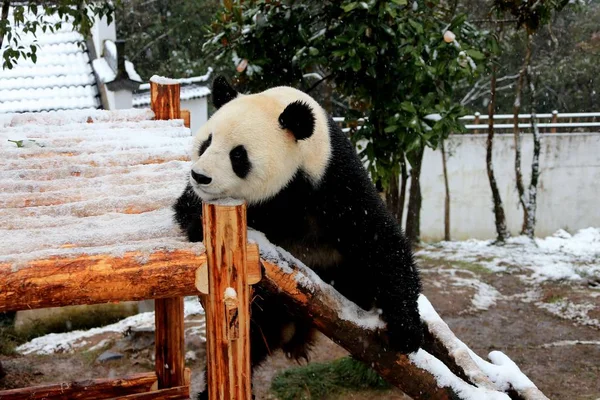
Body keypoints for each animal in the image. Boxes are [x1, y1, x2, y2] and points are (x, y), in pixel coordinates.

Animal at [173, 76, 422, 396]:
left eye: (238, 155)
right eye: (206, 143)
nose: (200, 176)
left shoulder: (334, 180)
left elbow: (379, 239)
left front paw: (406, 330)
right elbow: (185, 210)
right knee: (251, 338)